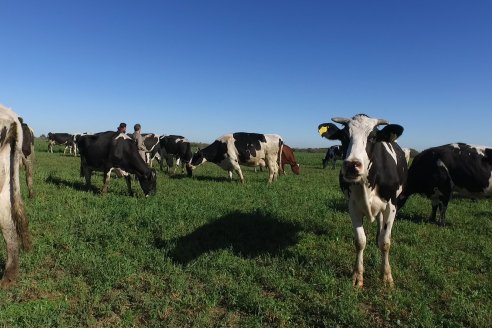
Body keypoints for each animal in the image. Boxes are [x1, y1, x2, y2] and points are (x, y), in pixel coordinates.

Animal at [320, 113, 408, 288]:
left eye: (373, 137)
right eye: (343, 136)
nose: (352, 165)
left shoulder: (391, 206)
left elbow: (385, 242)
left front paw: (386, 276)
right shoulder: (352, 206)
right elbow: (360, 241)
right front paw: (357, 276)